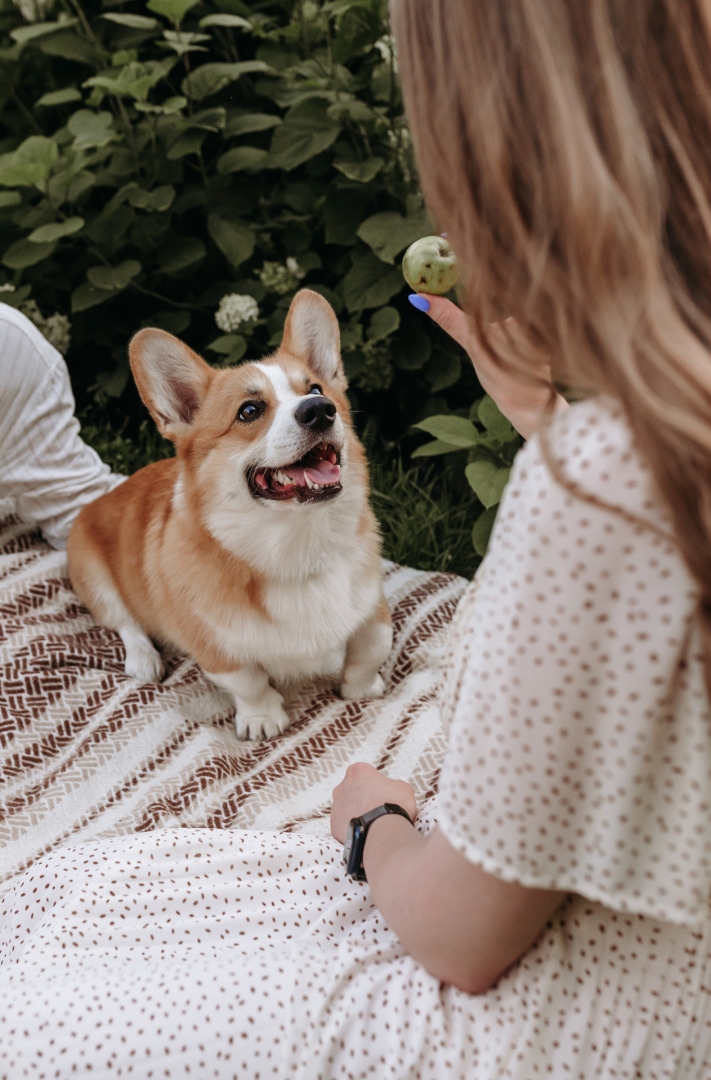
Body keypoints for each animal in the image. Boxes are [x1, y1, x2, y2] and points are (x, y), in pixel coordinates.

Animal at [65, 291, 393, 738]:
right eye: (249, 411)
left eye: (315, 388)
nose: (320, 409)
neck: (296, 547)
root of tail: (109, 493)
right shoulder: (215, 647)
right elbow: (248, 681)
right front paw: (263, 718)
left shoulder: (372, 608)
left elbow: (371, 648)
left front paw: (361, 688)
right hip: (95, 576)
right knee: (126, 622)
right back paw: (144, 660)